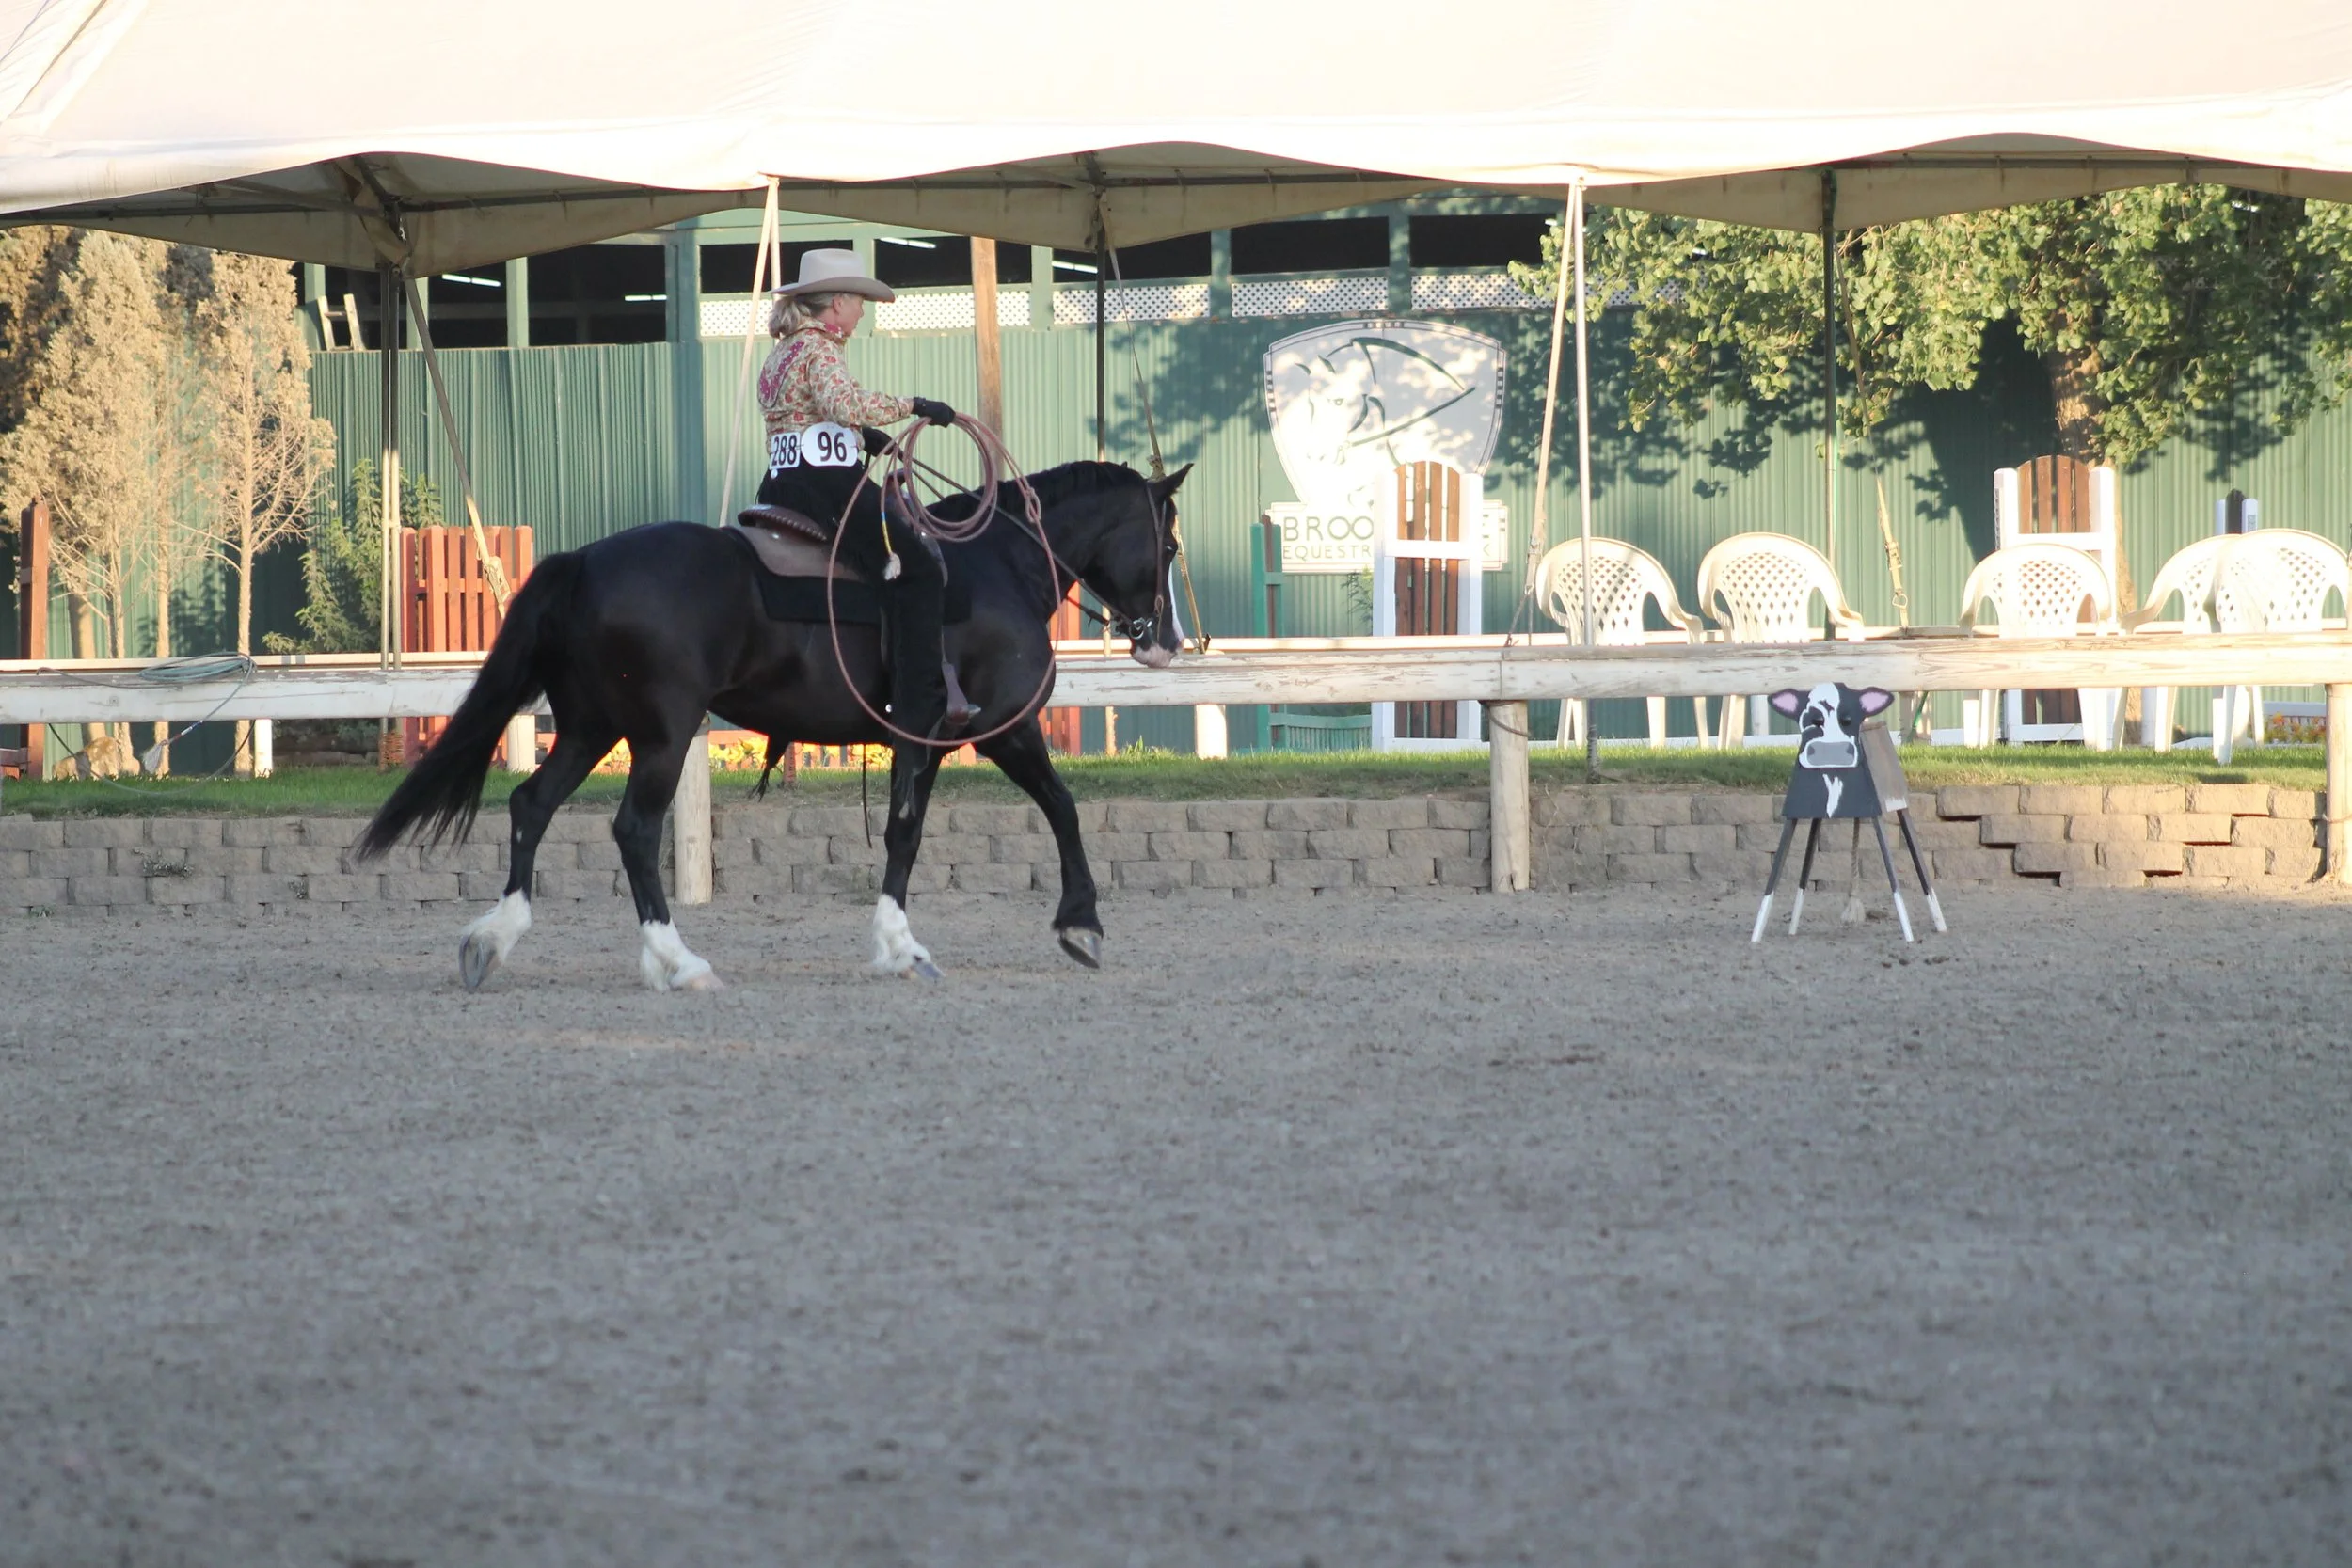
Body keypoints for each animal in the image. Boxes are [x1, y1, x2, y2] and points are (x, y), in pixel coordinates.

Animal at [352, 459, 1191, 991]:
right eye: (1169, 541)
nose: (1166, 642)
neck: (996, 563)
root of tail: (585, 559)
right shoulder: (1001, 729)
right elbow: (1050, 809)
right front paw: (1077, 924)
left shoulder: (922, 740)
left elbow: (908, 831)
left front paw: (901, 944)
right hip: (659, 735)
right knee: (634, 831)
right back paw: (678, 961)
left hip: (593, 727)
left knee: (533, 804)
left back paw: (493, 938)